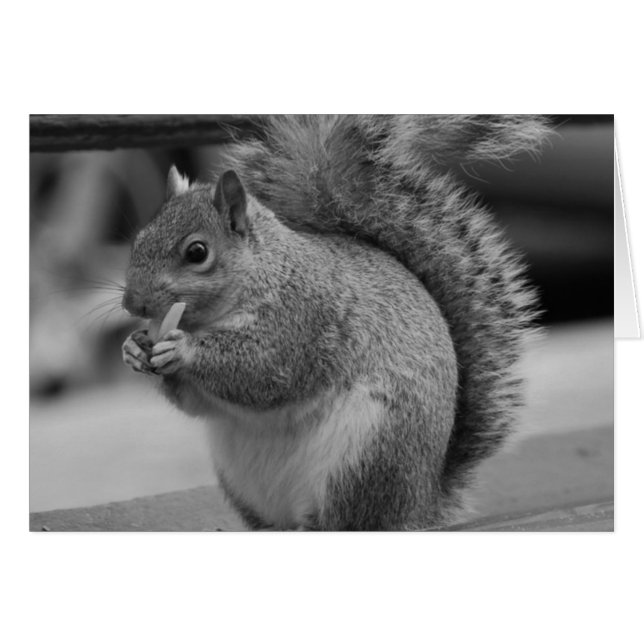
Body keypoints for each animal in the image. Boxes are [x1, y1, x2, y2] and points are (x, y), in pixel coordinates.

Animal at [121, 115, 549, 530]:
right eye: (138, 240)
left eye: (197, 252)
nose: (131, 303)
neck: (264, 271)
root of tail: (422, 502)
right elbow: (196, 403)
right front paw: (134, 348)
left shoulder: (302, 319)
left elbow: (262, 372)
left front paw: (181, 348)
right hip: (242, 478)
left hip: (366, 455)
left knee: (350, 520)